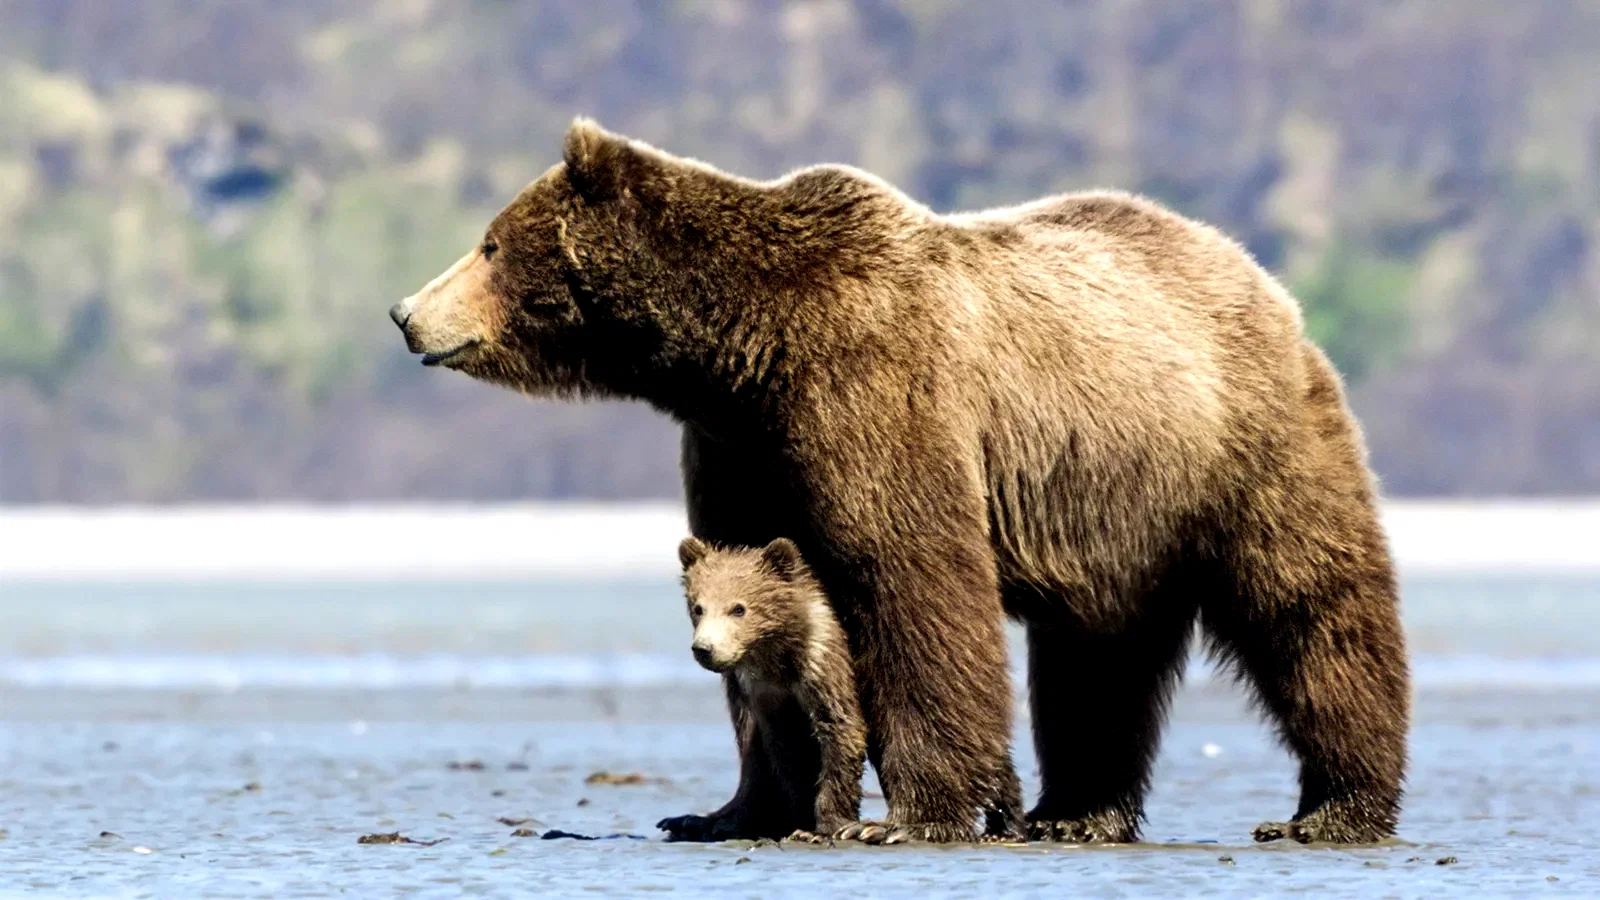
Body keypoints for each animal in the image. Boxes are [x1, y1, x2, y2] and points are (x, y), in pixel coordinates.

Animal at [660, 535, 1027, 844]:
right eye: (698, 607)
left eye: (739, 608)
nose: (705, 649)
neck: (779, 655)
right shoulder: (768, 695)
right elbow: (789, 754)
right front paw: (801, 817)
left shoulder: (823, 667)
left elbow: (842, 733)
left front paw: (826, 826)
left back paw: (1005, 825)